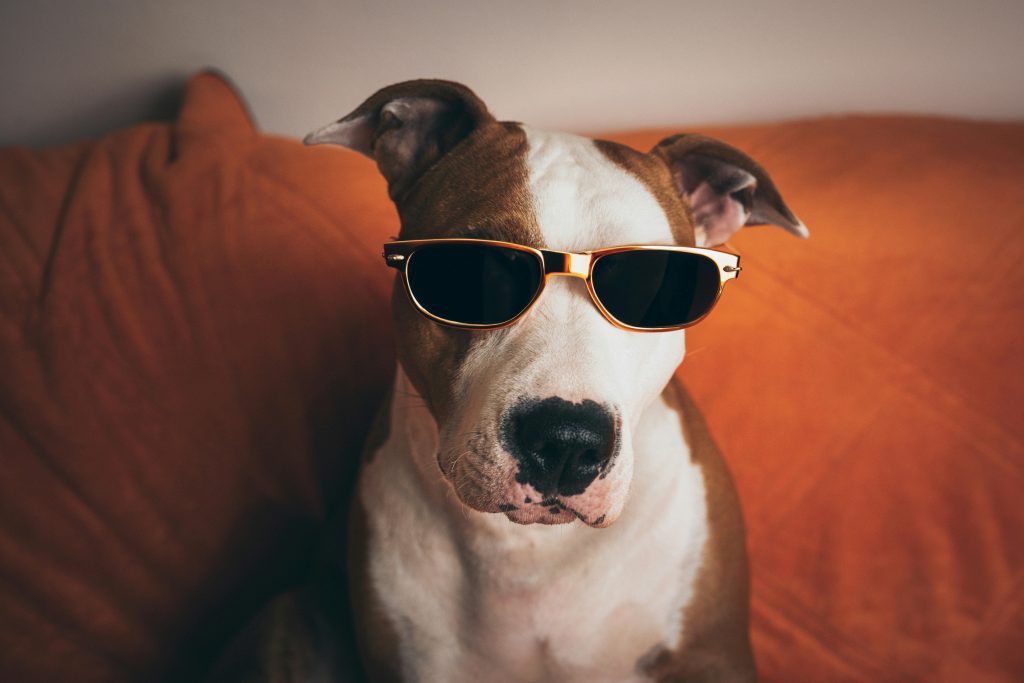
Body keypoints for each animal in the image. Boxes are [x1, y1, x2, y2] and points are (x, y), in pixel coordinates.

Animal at [211, 81, 802, 683]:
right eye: (472, 273)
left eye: (654, 284)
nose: (566, 441)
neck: (527, 550)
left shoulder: (715, 657)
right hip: (287, 617)